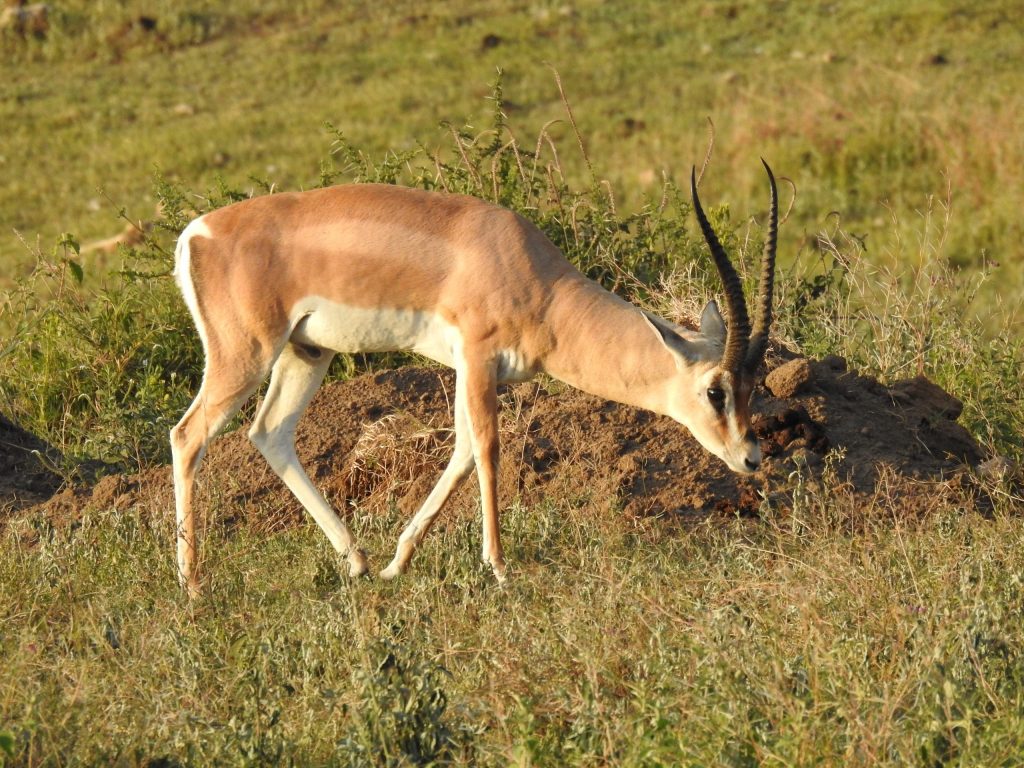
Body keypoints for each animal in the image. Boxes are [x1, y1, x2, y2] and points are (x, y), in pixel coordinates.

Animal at [170, 162, 778, 595]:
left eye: (755, 386)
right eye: (716, 391)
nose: (751, 458)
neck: (535, 279)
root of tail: (196, 233)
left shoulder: (471, 370)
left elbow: (461, 450)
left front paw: (396, 563)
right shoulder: (478, 357)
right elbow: (487, 448)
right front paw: (500, 568)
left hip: (306, 353)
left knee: (269, 432)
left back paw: (358, 561)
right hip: (246, 355)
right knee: (188, 434)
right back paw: (194, 585)